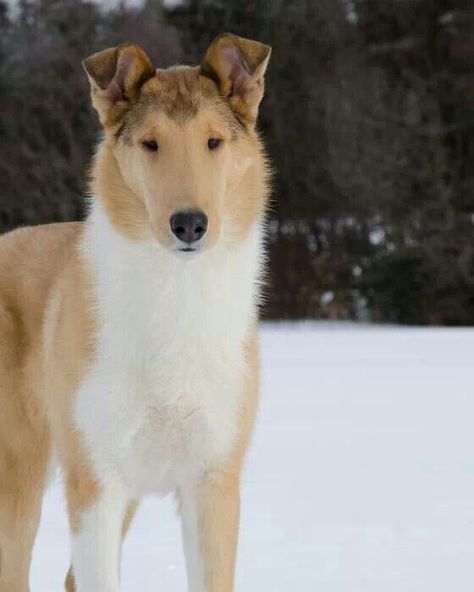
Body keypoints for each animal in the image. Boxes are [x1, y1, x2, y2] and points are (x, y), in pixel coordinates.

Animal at [0, 33, 270, 592]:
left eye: (214, 142)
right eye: (151, 144)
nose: (189, 224)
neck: (176, 298)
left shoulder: (213, 484)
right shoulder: (95, 483)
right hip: (18, 479)